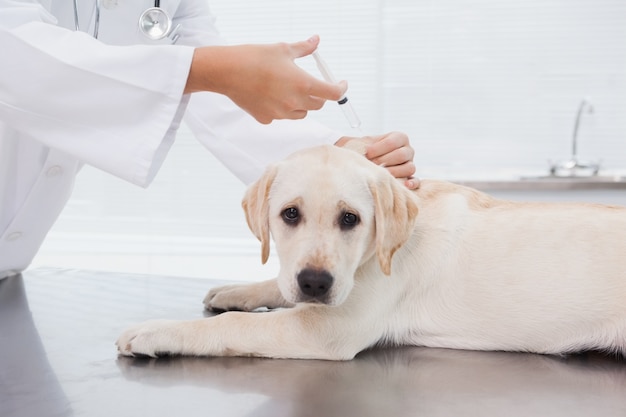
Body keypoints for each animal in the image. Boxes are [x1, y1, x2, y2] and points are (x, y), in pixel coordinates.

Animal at [117, 144, 624, 358]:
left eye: (350, 219)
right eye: (289, 214)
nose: (315, 283)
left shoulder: (327, 329)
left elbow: (237, 326)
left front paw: (156, 331)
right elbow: (276, 286)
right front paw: (237, 290)